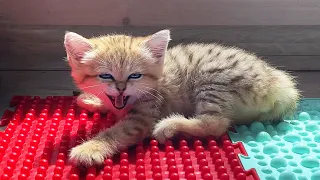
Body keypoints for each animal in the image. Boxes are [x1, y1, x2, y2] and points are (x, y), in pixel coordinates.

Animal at [64, 29, 300, 166]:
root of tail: (278, 83)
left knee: (215, 123)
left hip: (211, 77)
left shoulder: (144, 116)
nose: (121, 89)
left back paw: (170, 126)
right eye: (106, 76)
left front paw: (90, 147)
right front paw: (91, 100)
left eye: (135, 75)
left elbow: (118, 131)